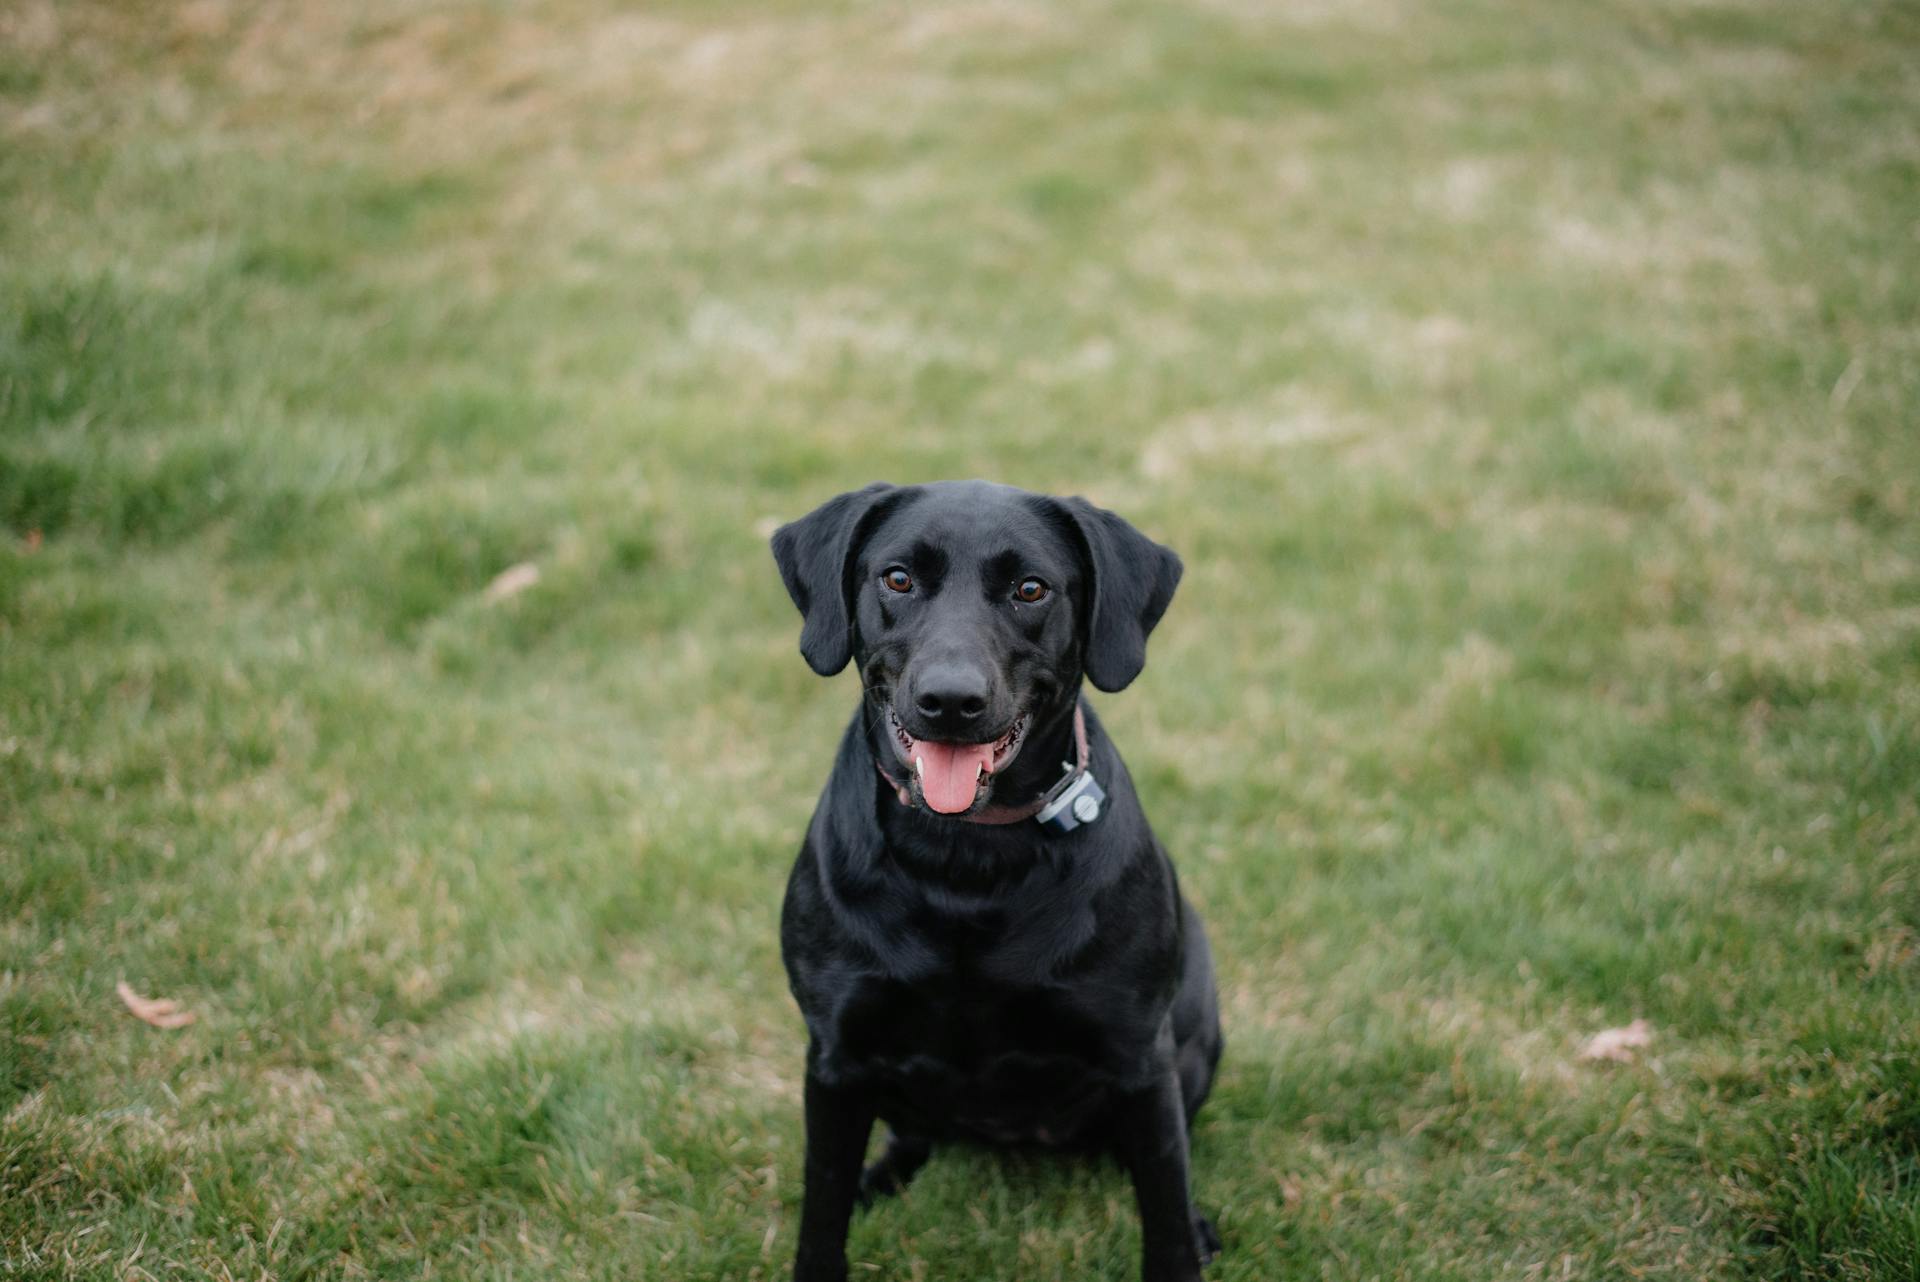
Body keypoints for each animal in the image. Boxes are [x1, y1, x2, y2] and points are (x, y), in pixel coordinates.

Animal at [771, 479, 1221, 1282]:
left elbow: (1164, 1206)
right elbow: (821, 1211)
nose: (951, 702)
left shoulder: (1141, 1059)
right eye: (897, 579)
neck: (964, 860)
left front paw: (1183, 1237)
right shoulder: (835, 1060)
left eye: (1030, 589)